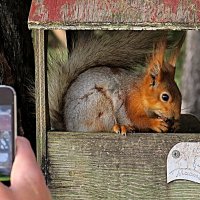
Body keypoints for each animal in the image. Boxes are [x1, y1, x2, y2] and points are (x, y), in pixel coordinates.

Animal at [48, 30, 184, 134]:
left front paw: (176, 125)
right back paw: (120, 127)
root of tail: (68, 126)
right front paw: (155, 123)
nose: (176, 117)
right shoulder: (129, 103)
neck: (140, 92)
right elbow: (136, 120)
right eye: (165, 97)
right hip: (98, 105)